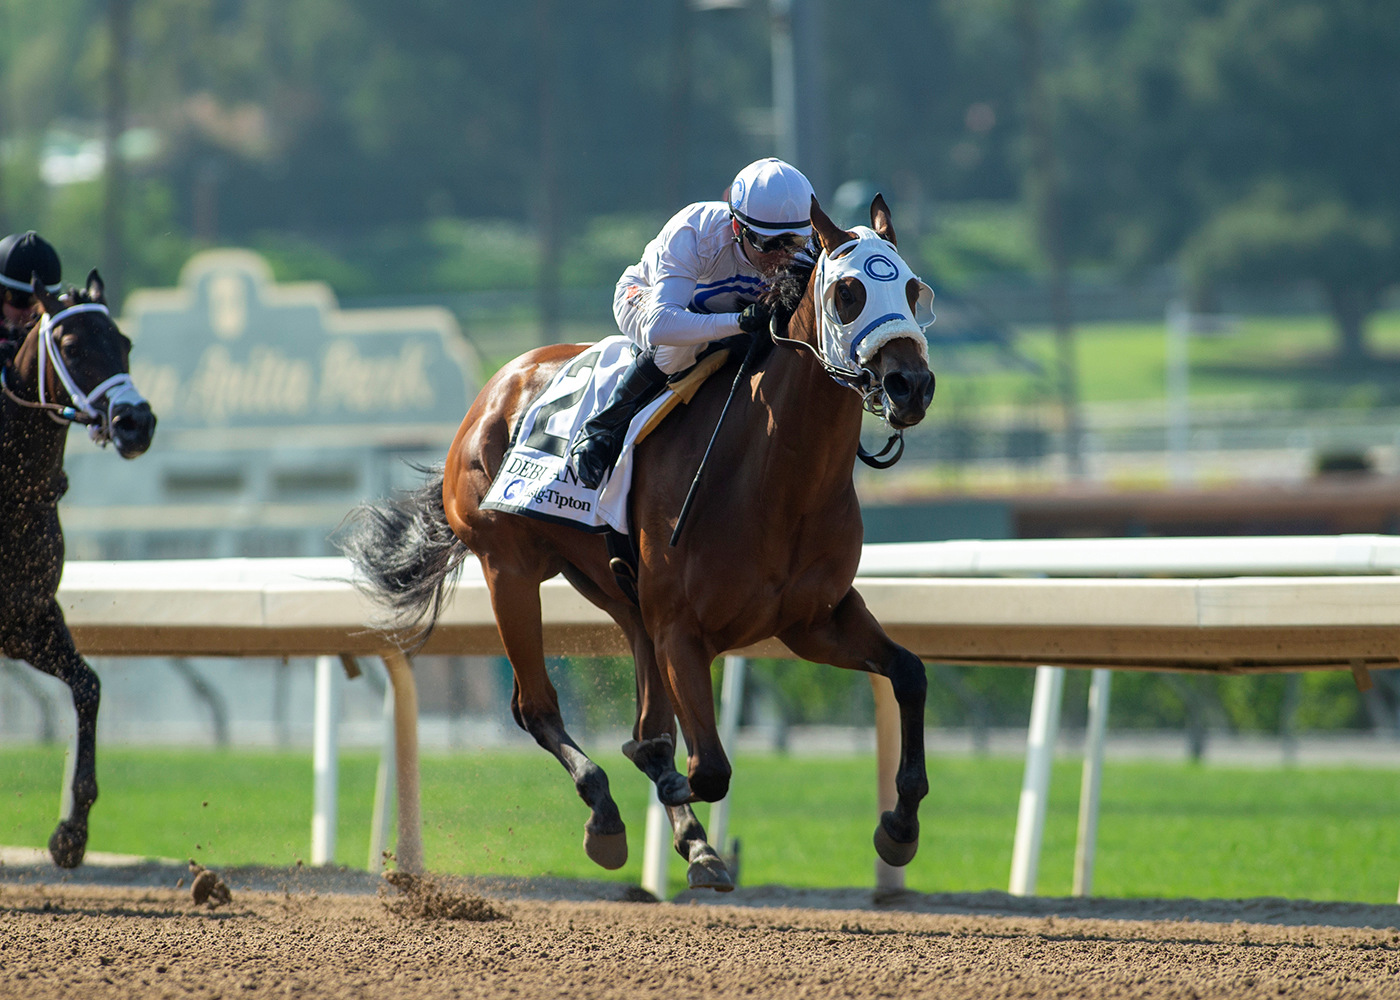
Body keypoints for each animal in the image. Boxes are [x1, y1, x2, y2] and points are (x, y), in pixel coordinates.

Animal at [1, 273, 157, 862]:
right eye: (70, 346)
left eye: (125, 343)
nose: (136, 422)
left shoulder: (27, 619)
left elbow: (88, 686)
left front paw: (71, 834)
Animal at [340, 198, 935, 885]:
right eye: (848, 292)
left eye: (913, 290)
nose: (911, 385)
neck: (777, 476)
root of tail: (494, 387)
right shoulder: (683, 629)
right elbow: (707, 767)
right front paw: (666, 792)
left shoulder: (814, 619)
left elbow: (909, 672)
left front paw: (899, 826)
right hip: (508, 567)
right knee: (535, 707)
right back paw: (606, 816)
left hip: (622, 597)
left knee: (642, 714)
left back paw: (693, 841)